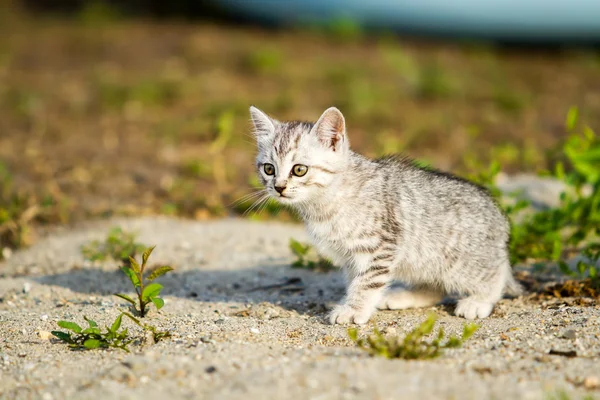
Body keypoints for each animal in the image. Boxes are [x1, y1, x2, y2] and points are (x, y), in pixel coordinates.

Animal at [248, 104, 520, 324]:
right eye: (269, 169)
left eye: (299, 170)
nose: (279, 187)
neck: (326, 202)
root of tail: (499, 215)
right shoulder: (350, 256)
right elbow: (356, 281)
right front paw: (353, 303)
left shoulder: (379, 246)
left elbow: (367, 282)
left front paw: (354, 309)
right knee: (436, 287)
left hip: (458, 261)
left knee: (495, 274)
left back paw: (479, 300)